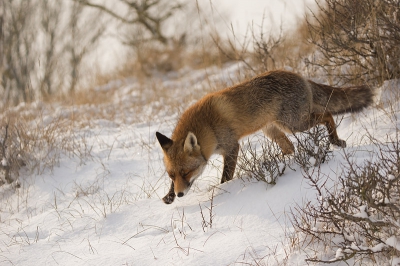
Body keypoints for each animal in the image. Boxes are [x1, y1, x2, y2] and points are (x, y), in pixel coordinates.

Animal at [155, 70, 372, 204]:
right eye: (172, 175)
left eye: (187, 172)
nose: (180, 195)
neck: (207, 125)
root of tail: (299, 75)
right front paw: (168, 196)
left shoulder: (231, 146)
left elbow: (225, 178)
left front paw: (223, 193)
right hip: (273, 130)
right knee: (290, 148)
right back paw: (278, 162)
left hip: (295, 124)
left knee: (327, 115)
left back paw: (336, 141)